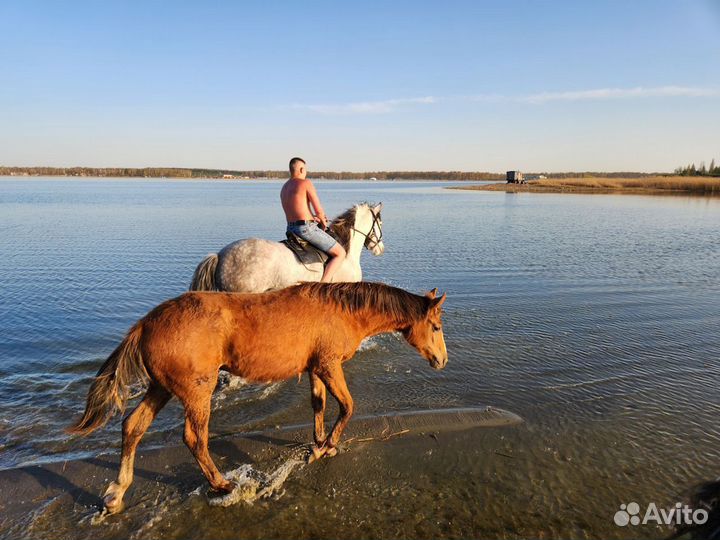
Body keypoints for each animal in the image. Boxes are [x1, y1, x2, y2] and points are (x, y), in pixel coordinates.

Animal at [70, 280, 448, 512]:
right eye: (436, 327)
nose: (442, 360)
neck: (343, 311)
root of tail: (146, 323)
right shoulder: (329, 366)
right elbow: (347, 406)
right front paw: (327, 446)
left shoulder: (315, 368)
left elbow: (319, 405)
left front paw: (318, 444)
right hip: (197, 391)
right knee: (194, 438)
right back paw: (222, 484)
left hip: (160, 387)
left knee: (133, 427)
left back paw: (117, 491)